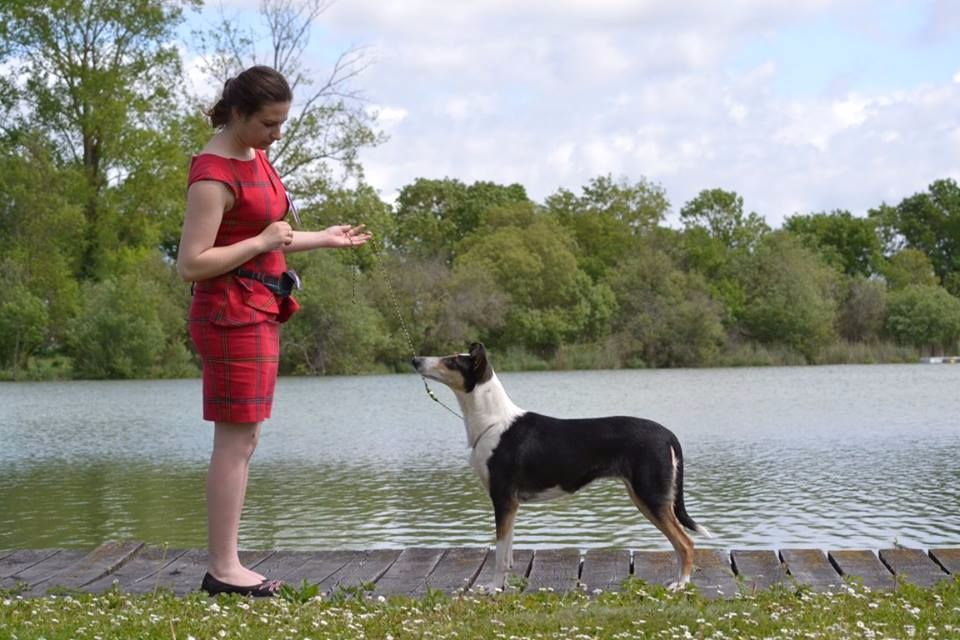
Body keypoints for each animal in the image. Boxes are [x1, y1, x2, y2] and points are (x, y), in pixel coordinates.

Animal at [408, 344, 708, 592]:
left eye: (451, 361)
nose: (415, 359)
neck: (491, 422)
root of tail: (667, 434)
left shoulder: (503, 499)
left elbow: (499, 554)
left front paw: (494, 590)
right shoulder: (510, 505)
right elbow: (508, 553)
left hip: (651, 496)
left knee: (686, 543)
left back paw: (681, 584)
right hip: (645, 497)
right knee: (679, 542)